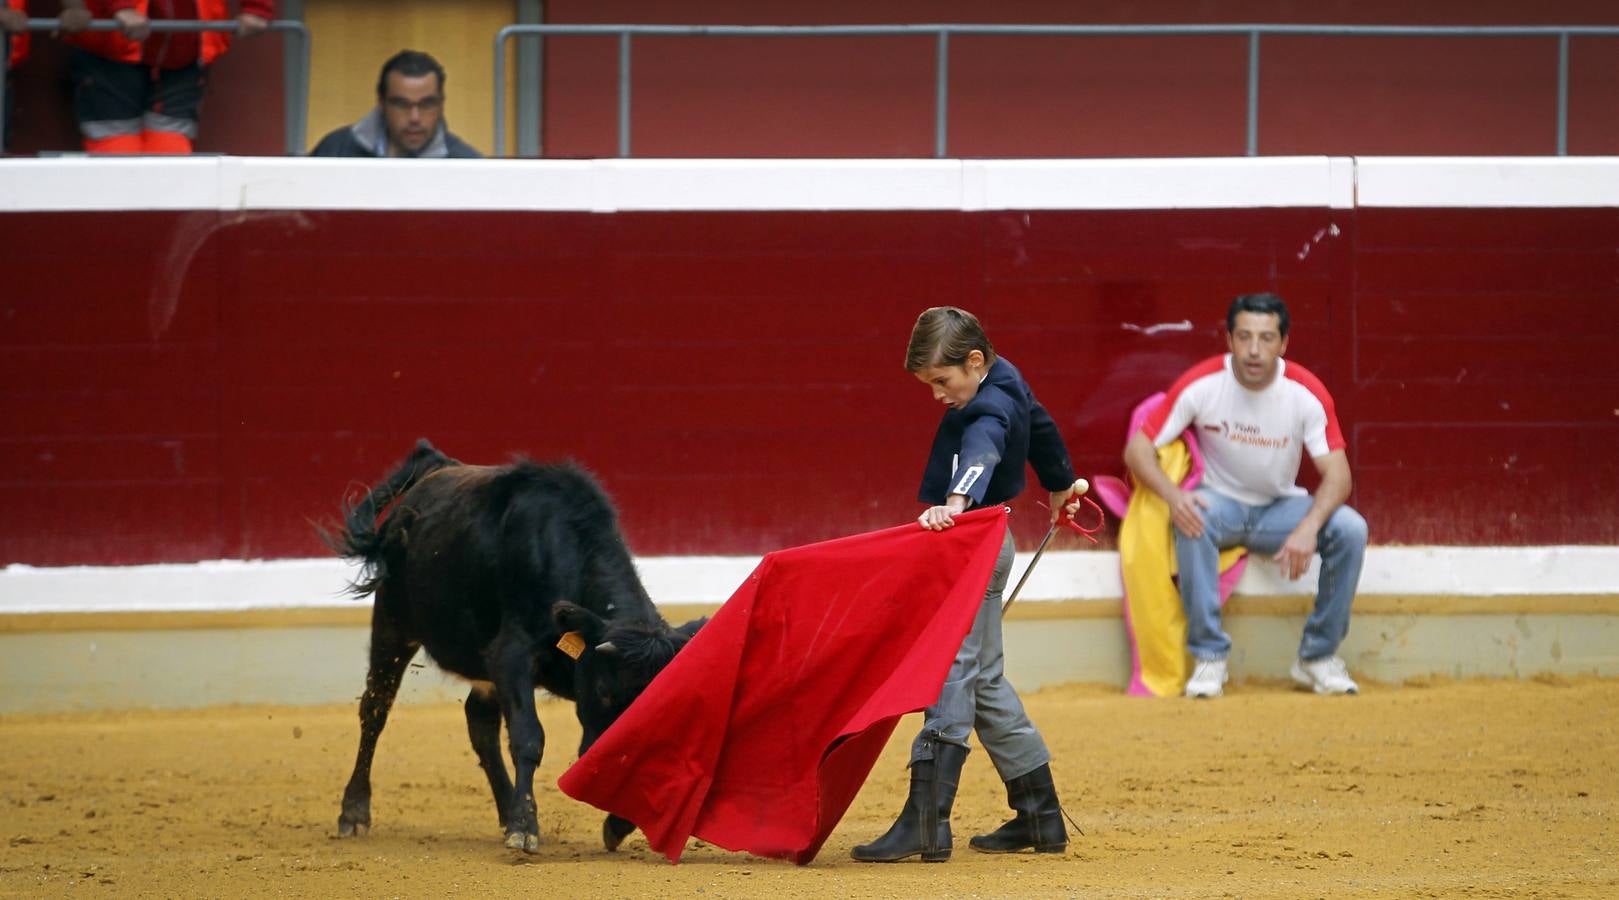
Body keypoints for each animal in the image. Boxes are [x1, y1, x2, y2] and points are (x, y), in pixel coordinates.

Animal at [325, 440, 705, 854]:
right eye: (605, 692)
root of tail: (437, 468)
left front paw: (614, 821)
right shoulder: (511, 655)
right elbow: (528, 736)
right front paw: (525, 827)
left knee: (480, 723)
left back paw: (507, 811)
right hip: (393, 624)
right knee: (375, 709)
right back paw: (354, 813)